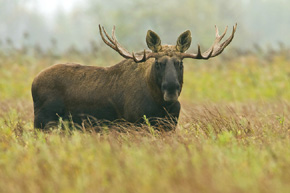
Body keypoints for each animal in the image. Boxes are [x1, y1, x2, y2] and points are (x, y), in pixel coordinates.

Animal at [31, 23, 237, 130]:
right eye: (158, 63)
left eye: (180, 63)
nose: (171, 91)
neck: (161, 105)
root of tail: (33, 83)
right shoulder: (133, 124)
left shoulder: (169, 127)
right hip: (43, 122)